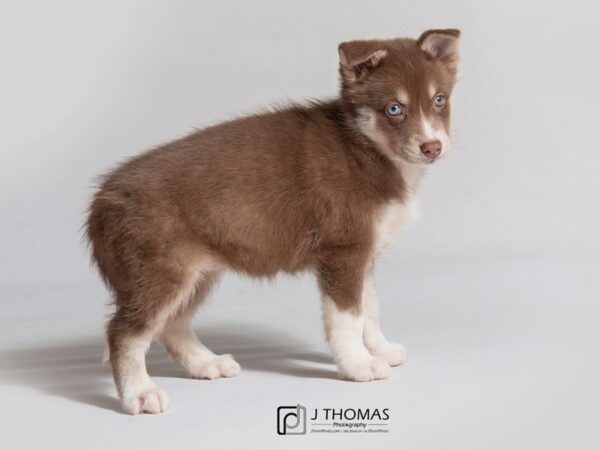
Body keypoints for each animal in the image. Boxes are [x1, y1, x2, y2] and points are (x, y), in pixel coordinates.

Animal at [85, 29, 460, 414]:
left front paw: (381, 350)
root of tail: (101, 201)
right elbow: (347, 318)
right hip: (161, 273)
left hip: (196, 274)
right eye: (394, 109)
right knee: (124, 332)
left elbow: (369, 310)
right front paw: (359, 365)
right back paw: (140, 393)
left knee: (171, 326)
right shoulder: (342, 252)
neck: (367, 146)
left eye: (440, 100)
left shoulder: (364, 254)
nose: (433, 147)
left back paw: (206, 364)